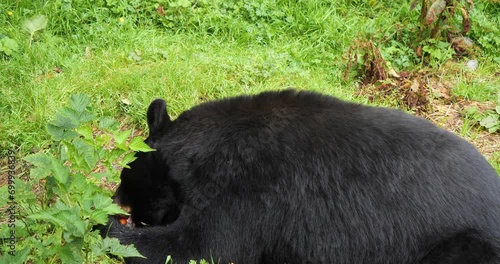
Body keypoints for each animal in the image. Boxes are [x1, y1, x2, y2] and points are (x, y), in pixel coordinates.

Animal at [100, 89, 500, 264]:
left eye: (126, 178)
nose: (118, 201)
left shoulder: (244, 189)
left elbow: (203, 246)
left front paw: (107, 227)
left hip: (465, 244)